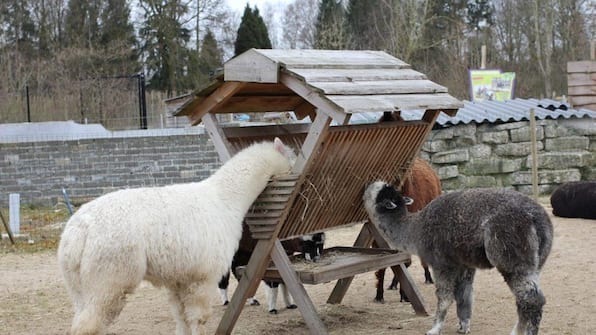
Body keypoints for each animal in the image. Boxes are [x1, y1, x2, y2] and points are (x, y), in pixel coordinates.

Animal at [364, 182, 556, 335]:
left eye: (373, 190)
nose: (365, 187)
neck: (415, 229)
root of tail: (537, 217)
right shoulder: (464, 263)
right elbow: (464, 295)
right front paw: (463, 326)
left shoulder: (441, 263)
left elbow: (444, 296)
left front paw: (434, 329)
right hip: (535, 261)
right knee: (525, 299)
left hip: (510, 253)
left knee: (532, 300)